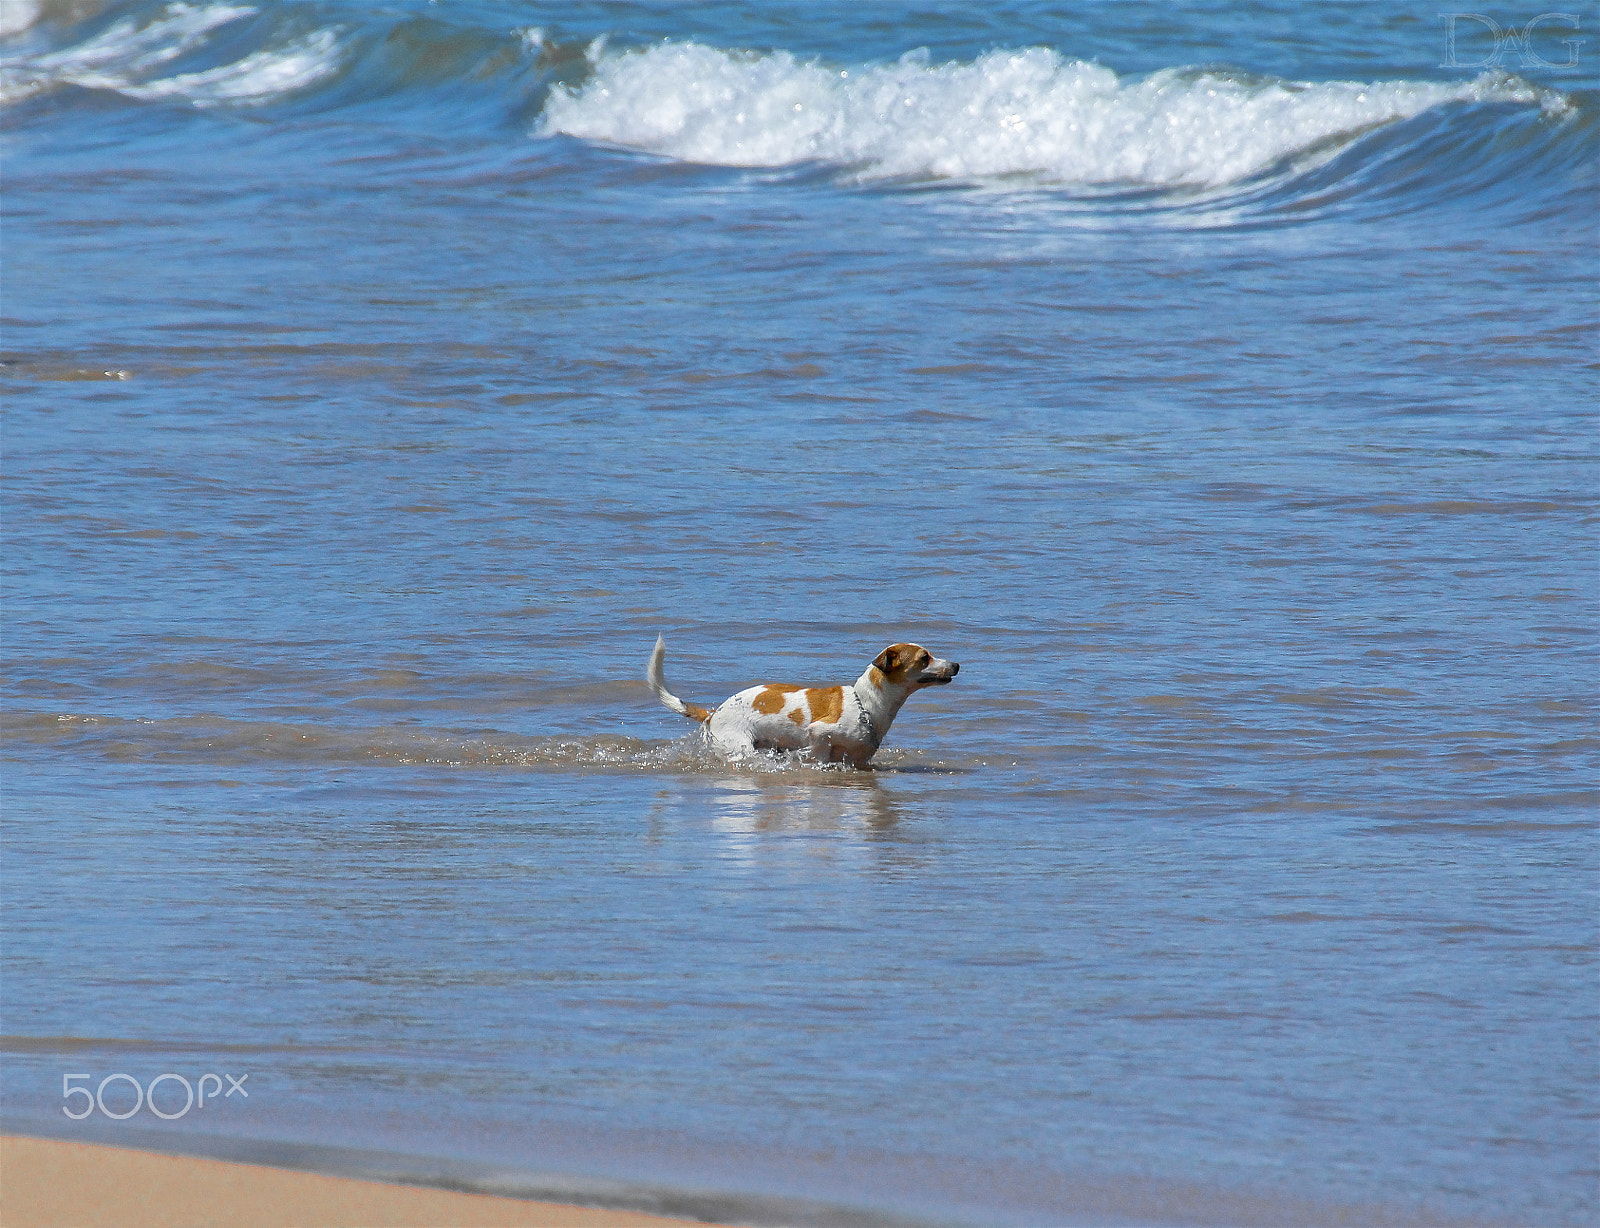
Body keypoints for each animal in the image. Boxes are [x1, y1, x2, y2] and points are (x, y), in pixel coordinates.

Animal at [646, 633, 960, 767]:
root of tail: (714, 712)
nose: (956, 665)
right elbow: (818, 753)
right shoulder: (819, 733)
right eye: (924, 658)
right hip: (740, 747)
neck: (866, 705)